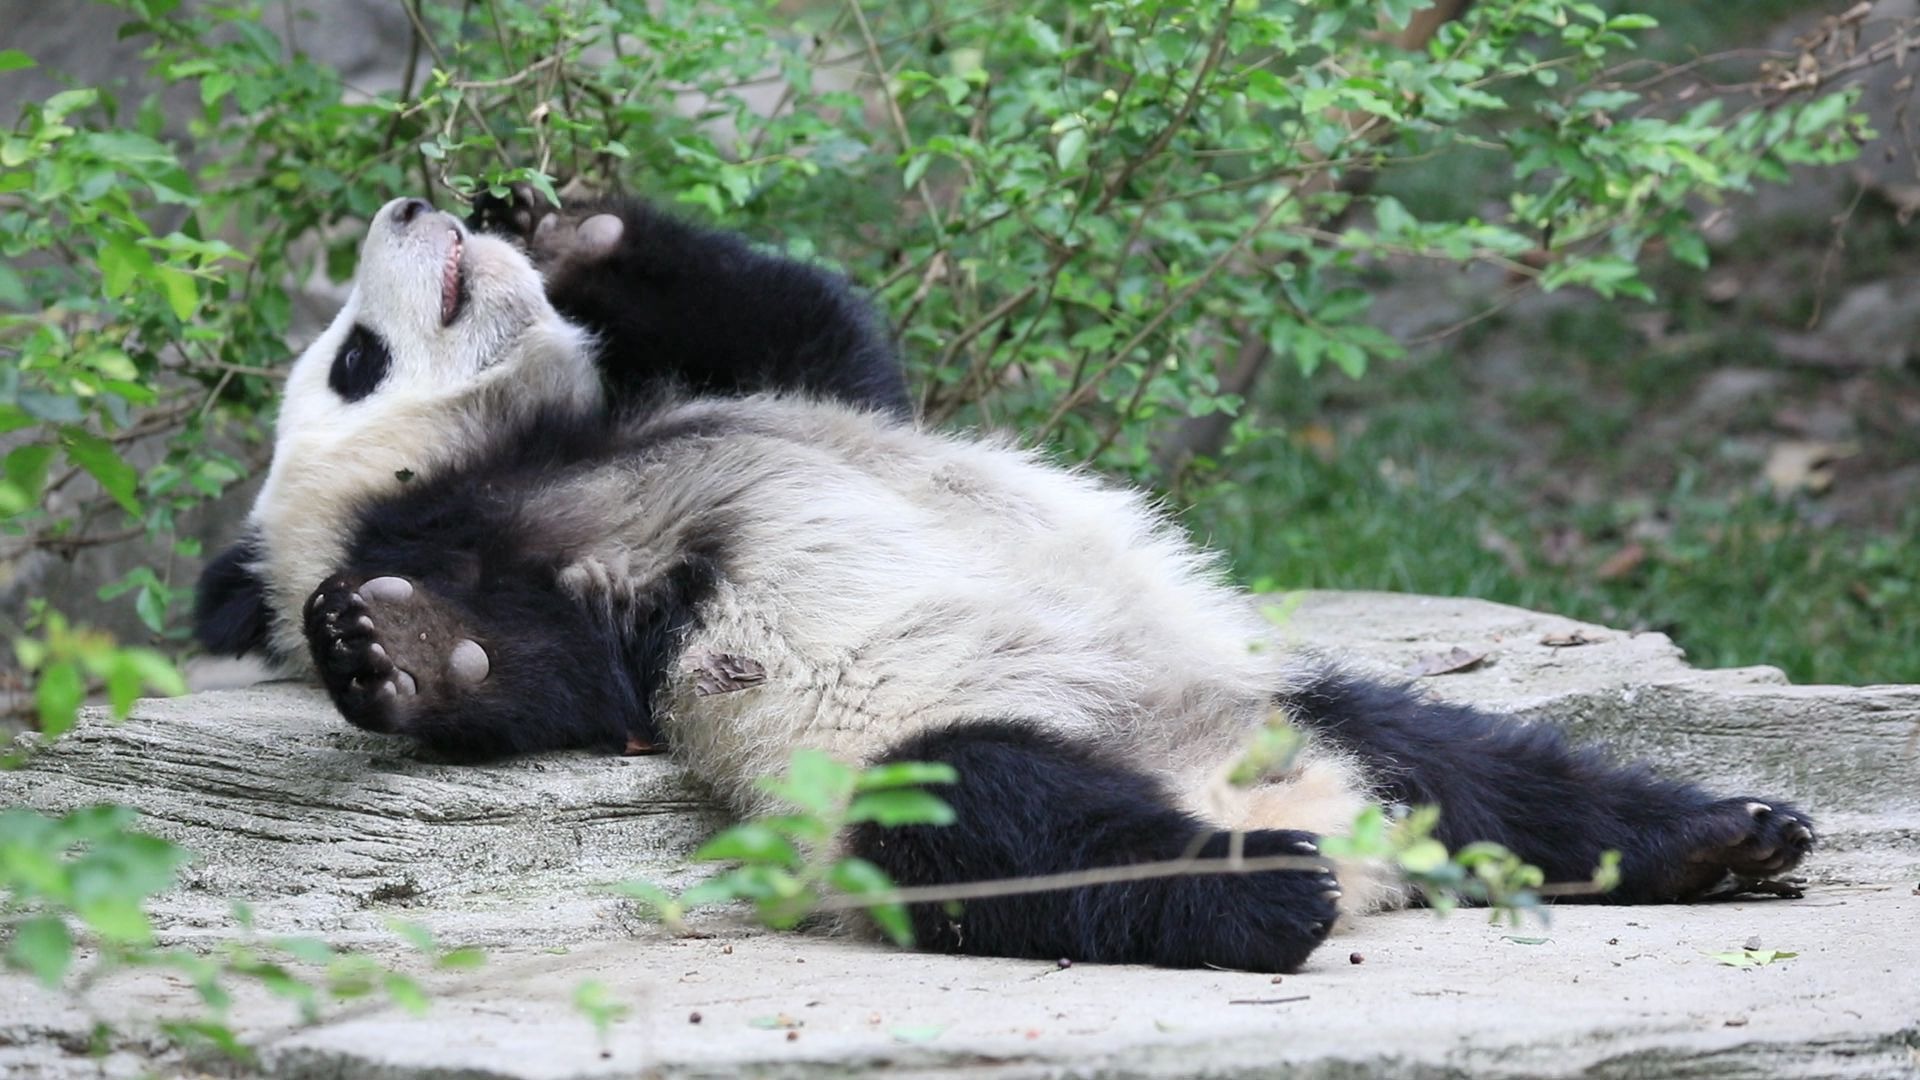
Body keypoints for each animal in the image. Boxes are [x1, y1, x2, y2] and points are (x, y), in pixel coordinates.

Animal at [191, 195, 1812, 976]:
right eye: (356, 357)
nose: (410, 210)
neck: (534, 451)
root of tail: (1310, 811)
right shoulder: (560, 560)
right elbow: (564, 675)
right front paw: (396, 650)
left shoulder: (755, 400)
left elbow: (823, 330)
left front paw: (577, 222)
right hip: (902, 762)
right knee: (1011, 825)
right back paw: (1261, 893)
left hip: (1283, 696)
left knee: (1492, 772)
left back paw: (1720, 838)